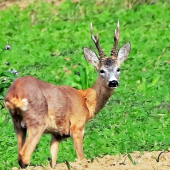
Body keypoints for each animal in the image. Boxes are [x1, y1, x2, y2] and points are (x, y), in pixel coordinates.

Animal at [4, 21, 130, 169]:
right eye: (101, 70)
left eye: (118, 69)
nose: (113, 82)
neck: (85, 101)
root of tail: (14, 93)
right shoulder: (77, 126)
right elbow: (81, 158)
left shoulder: (57, 135)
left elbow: (53, 160)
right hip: (37, 121)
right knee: (24, 155)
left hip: (17, 124)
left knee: (19, 154)